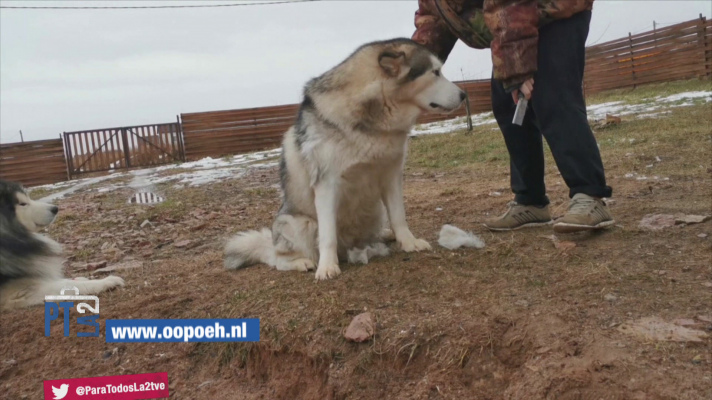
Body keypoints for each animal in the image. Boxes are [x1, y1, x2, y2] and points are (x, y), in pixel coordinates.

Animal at [0, 180, 125, 310]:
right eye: (23, 204)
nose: (55, 208)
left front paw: (79, 278)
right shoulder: (20, 292)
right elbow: (67, 284)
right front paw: (105, 282)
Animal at [224, 39, 468, 280]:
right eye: (435, 72)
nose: (464, 94)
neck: (373, 123)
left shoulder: (391, 175)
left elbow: (399, 216)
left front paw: (409, 243)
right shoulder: (327, 185)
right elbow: (327, 236)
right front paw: (327, 267)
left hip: (375, 211)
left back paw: (384, 236)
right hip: (299, 224)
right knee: (278, 259)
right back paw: (302, 262)